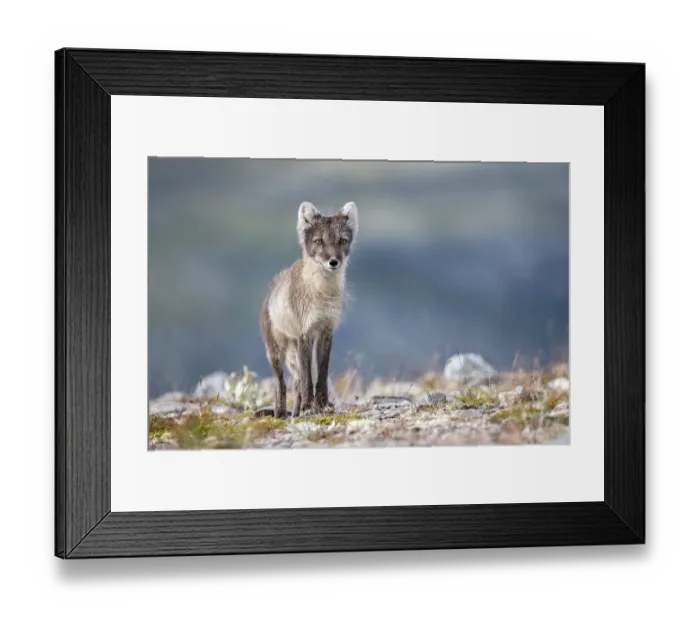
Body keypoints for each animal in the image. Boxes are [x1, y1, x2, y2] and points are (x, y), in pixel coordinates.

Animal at [260, 201, 359, 418]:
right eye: (319, 241)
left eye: (342, 240)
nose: (333, 262)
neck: (322, 294)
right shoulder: (304, 334)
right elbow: (308, 378)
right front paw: (308, 406)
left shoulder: (325, 332)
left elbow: (321, 374)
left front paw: (322, 405)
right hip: (277, 353)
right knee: (281, 385)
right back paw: (281, 414)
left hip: (292, 355)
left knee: (296, 383)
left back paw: (295, 412)